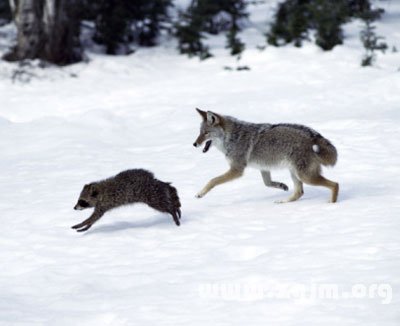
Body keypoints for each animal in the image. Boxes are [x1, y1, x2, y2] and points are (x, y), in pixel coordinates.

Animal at [192, 108, 340, 202]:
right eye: (199, 132)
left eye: (205, 133)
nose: (194, 144)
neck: (232, 137)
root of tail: (313, 136)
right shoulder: (263, 167)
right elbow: (267, 183)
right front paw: (282, 186)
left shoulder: (237, 170)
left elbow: (213, 180)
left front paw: (200, 193)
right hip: (295, 174)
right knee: (299, 193)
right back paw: (283, 201)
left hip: (305, 176)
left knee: (335, 184)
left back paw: (331, 204)